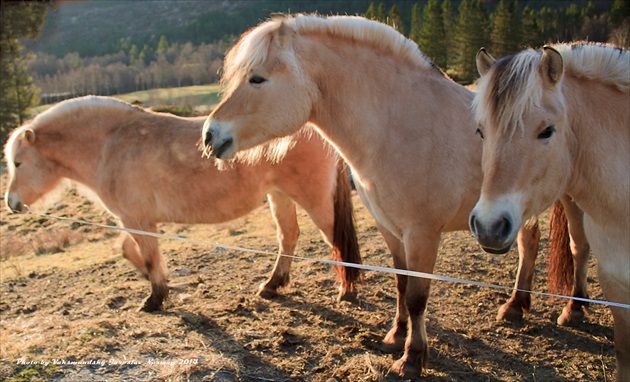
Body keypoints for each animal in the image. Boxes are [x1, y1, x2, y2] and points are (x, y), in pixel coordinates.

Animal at [4, 96, 362, 314]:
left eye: (18, 163)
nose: (11, 203)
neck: (111, 144)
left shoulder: (136, 219)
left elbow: (148, 256)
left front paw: (155, 297)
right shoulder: (135, 219)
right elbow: (131, 251)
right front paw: (163, 284)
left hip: (312, 199)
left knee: (335, 239)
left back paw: (347, 291)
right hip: (280, 197)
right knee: (288, 237)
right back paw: (271, 286)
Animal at [201, 14, 592, 376]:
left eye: (257, 78)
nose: (209, 135)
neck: (401, 127)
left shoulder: (422, 234)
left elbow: (418, 296)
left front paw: (413, 358)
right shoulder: (390, 228)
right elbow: (402, 283)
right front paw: (396, 335)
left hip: (573, 202)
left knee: (578, 247)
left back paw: (574, 309)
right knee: (529, 242)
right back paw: (515, 306)